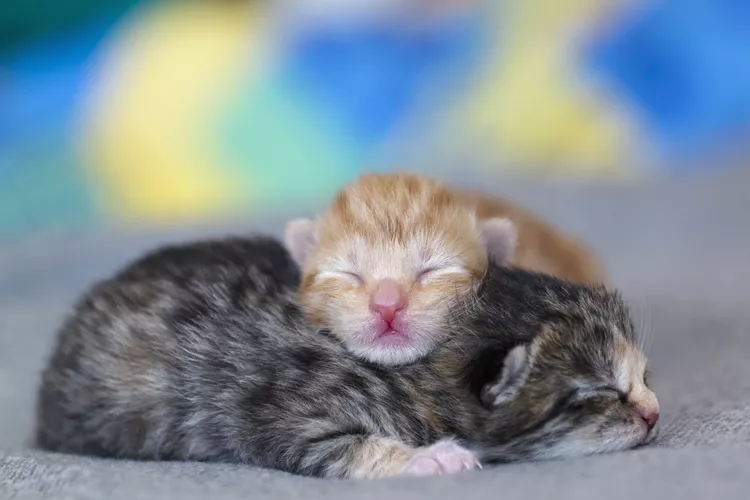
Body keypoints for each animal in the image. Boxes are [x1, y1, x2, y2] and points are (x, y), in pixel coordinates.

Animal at [35, 236, 660, 478]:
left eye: (644, 376)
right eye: (598, 393)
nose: (654, 414)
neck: (418, 374)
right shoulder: (285, 414)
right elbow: (348, 447)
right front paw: (433, 459)